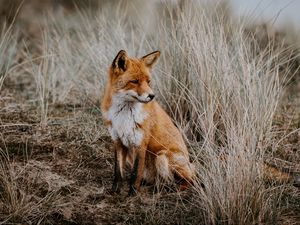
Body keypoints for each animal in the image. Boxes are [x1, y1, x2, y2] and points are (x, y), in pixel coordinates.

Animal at [101, 49, 195, 195]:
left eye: (148, 81)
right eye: (134, 81)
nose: (152, 96)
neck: (123, 116)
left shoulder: (140, 143)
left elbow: (135, 174)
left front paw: (133, 194)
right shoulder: (118, 141)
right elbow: (118, 172)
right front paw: (115, 192)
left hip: (162, 156)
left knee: (190, 180)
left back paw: (172, 189)